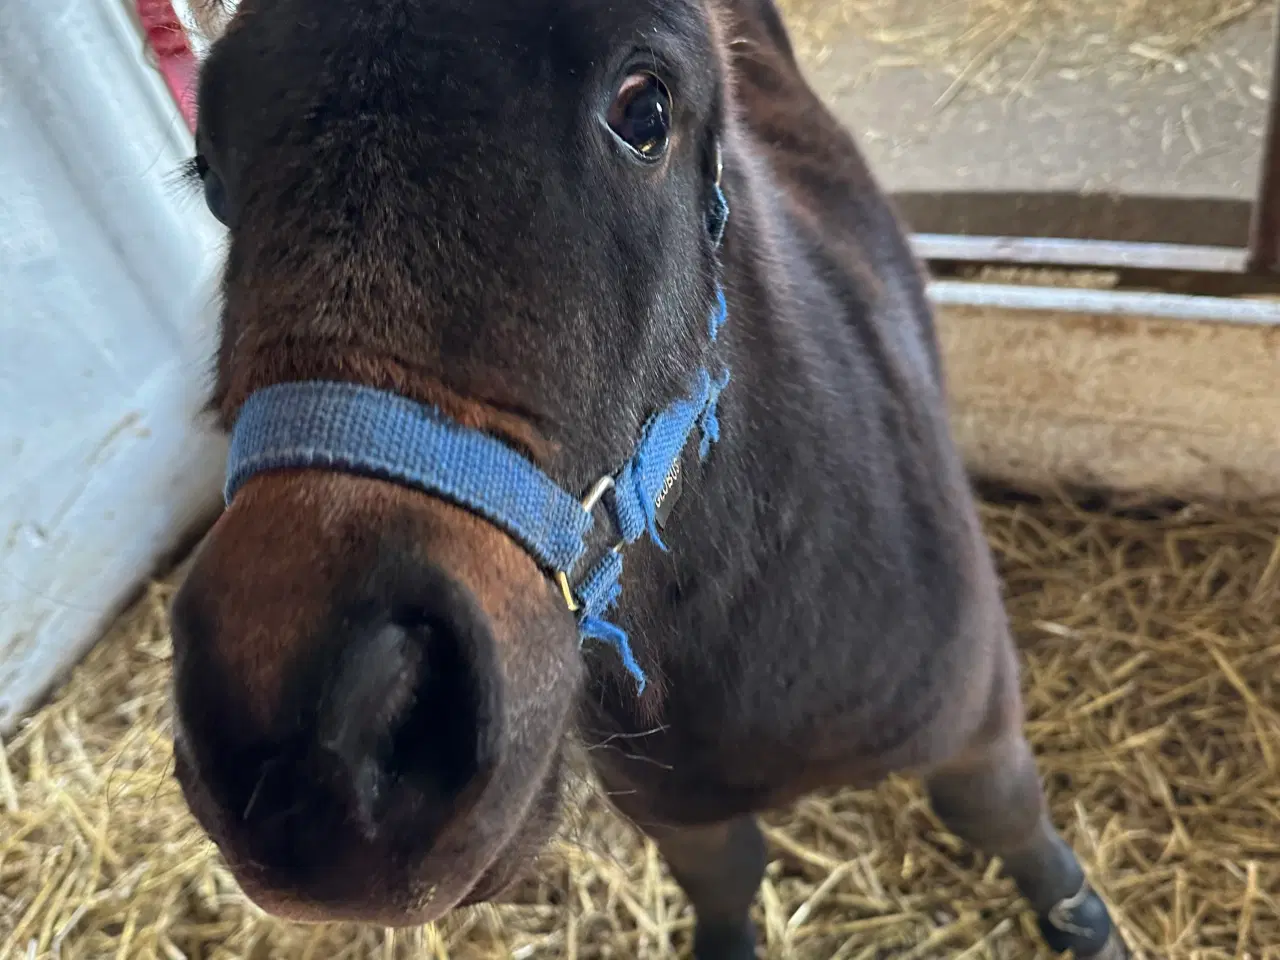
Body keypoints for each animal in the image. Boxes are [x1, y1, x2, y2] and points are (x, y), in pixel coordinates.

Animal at [170, 3, 1131, 957]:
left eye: (645, 111)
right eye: (210, 174)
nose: (318, 749)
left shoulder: (977, 715)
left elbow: (1001, 816)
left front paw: (1080, 919)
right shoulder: (676, 810)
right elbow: (725, 877)